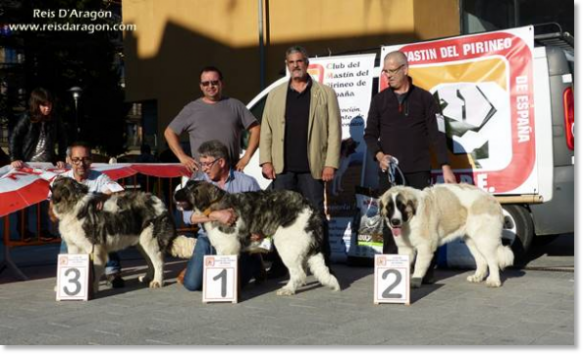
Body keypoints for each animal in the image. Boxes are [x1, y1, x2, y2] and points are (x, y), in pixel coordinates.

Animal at [49, 177, 193, 294]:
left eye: (54, 187)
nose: (49, 195)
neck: (72, 204)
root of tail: (160, 203)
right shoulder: (74, 247)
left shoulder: (93, 248)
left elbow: (95, 269)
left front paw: (91, 289)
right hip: (141, 243)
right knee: (150, 261)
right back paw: (147, 277)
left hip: (150, 240)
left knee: (158, 261)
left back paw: (157, 281)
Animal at [171, 181, 340, 294]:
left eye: (187, 189)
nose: (174, 194)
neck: (214, 204)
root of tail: (310, 208)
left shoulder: (227, 248)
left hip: (286, 244)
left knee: (298, 272)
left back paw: (288, 289)